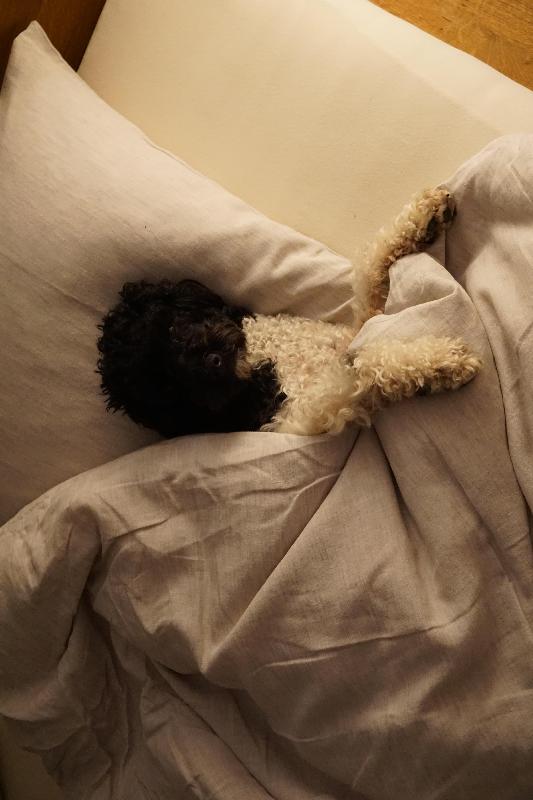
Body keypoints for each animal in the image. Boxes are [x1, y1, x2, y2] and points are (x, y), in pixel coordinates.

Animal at [96, 188, 481, 437]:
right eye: (167, 386)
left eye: (172, 329)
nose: (212, 362)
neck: (267, 363)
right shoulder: (315, 410)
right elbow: (364, 369)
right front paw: (442, 364)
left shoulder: (355, 325)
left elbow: (372, 270)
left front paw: (425, 216)